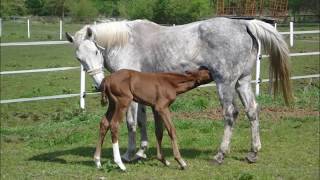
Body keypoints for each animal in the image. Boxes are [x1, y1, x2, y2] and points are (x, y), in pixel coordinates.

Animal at [65, 17, 292, 169]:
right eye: (78, 58)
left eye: (96, 51)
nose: (98, 84)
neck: (125, 42)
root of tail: (244, 24)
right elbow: (142, 121)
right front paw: (141, 151)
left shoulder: (130, 98)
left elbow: (130, 123)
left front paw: (129, 154)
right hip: (242, 81)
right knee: (252, 111)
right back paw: (253, 153)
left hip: (225, 83)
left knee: (230, 114)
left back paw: (220, 155)